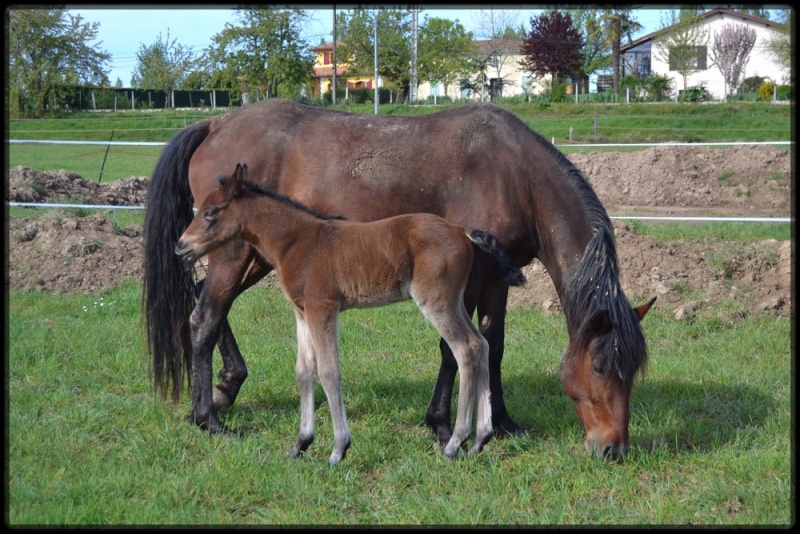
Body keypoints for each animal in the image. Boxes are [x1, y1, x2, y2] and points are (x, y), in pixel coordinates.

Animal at [144, 98, 656, 462]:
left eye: (632, 372)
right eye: (602, 368)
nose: (613, 449)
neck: (514, 174)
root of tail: (215, 123)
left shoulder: (498, 277)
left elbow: (494, 345)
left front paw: (504, 423)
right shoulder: (466, 281)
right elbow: (454, 352)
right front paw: (443, 426)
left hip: (253, 259)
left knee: (206, 306)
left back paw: (227, 387)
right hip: (233, 256)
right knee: (204, 318)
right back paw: (208, 418)